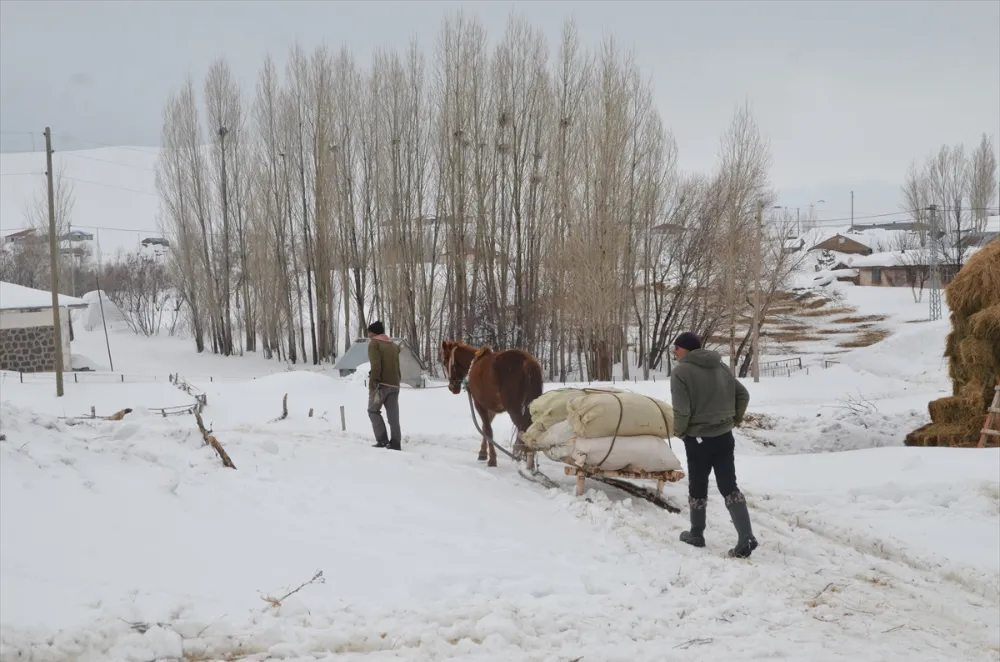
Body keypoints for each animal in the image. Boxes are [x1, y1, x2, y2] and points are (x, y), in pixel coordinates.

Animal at [442, 340, 544, 470]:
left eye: (445, 360)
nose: (452, 387)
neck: (473, 364)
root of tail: (527, 360)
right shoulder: (491, 408)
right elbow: (485, 428)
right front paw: (483, 453)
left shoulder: (479, 404)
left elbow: (488, 430)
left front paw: (492, 459)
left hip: (513, 409)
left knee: (524, 429)